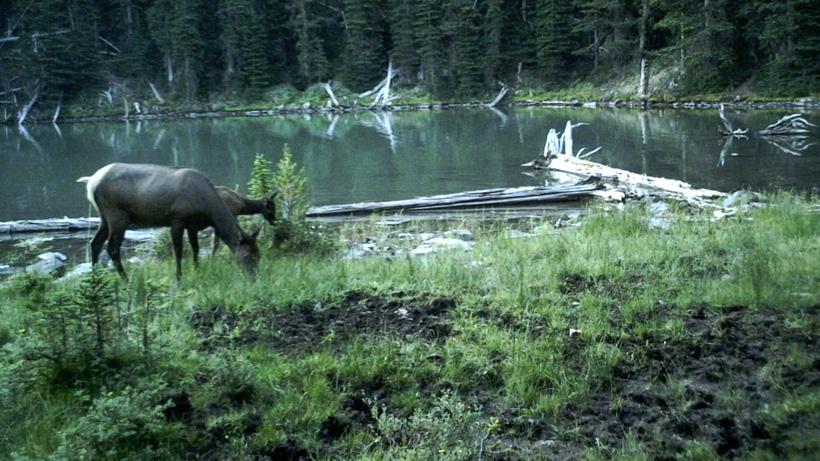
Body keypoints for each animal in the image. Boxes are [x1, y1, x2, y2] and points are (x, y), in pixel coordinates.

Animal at [77, 163, 260, 280]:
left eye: (259, 255)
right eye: (247, 255)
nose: (254, 277)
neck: (207, 208)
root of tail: (91, 182)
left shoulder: (192, 225)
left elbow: (195, 249)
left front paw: (197, 270)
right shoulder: (177, 220)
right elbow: (178, 251)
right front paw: (179, 277)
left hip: (104, 217)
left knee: (95, 243)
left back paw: (95, 278)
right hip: (117, 216)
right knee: (112, 248)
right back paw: (125, 279)